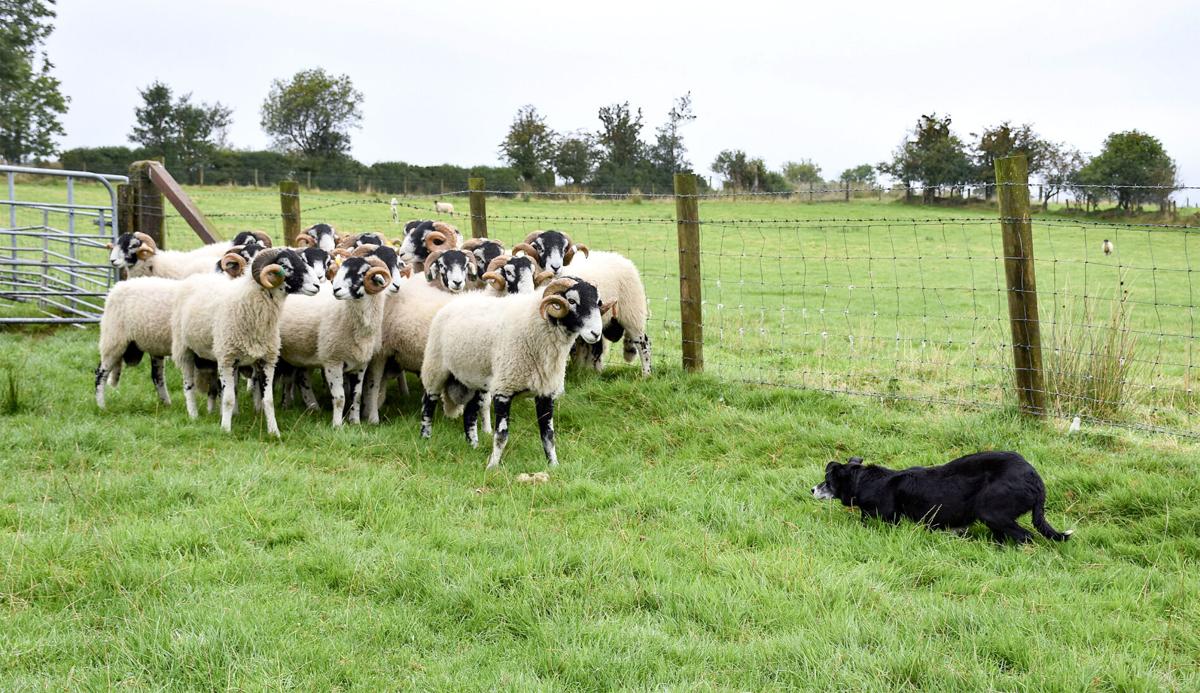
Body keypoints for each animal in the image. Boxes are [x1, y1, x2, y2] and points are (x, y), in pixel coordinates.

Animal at [171, 248, 322, 436]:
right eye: (285, 266)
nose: (317, 285)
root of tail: (197, 277)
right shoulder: (226, 358)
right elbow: (228, 398)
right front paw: (225, 430)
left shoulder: (267, 360)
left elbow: (268, 400)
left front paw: (274, 432)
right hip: (184, 349)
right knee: (188, 385)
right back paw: (193, 415)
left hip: (211, 356)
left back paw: (220, 412)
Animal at [277, 254, 392, 426]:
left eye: (362, 273)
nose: (335, 290)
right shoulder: (333, 360)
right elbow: (339, 397)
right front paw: (337, 425)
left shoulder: (361, 364)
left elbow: (357, 396)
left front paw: (355, 422)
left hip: (300, 351)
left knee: (297, 377)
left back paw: (309, 407)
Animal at [420, 276, 611, 469]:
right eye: (571, 301)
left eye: (597, 302)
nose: (596, 333)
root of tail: (461, 298)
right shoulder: (504, 390)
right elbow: (501, 435)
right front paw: (492, 467)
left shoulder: (545, 392)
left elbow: (548, 435)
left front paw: (553, 465)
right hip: (435, 367)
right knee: (429, 403)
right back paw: (425, 437)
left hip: (474, 379)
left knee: (469, 413)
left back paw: (473, 445)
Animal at [521, 230, 652, 376]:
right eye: (540, 247)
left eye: (564, 249)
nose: (555, 267)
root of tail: (624, 260)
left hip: (632, 312)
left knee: (643, 342)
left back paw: (646, 374)